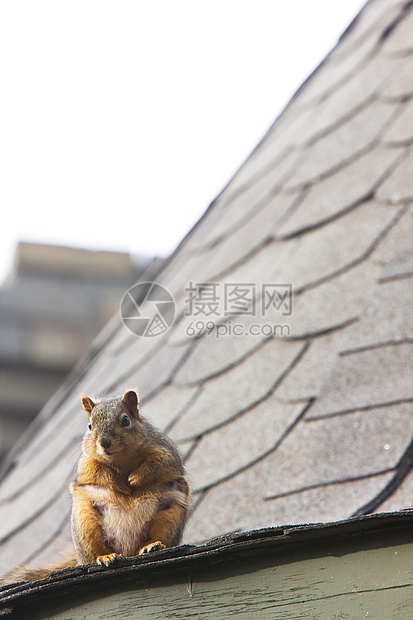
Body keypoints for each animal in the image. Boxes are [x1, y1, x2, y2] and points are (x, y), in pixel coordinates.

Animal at [2, 390, 190, 584]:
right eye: (90, 426)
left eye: (125, 420)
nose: (104, 443)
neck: (121, 460)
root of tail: (128, 550)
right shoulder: (86, 463)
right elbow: (96, 471)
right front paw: (118, 483)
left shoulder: (164, 450)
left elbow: (160, 464)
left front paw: (135, 478)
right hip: (86, 524)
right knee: (94, 554)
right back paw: (106, 557)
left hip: (170, 517)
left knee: (161, 537)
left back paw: (153, 546)